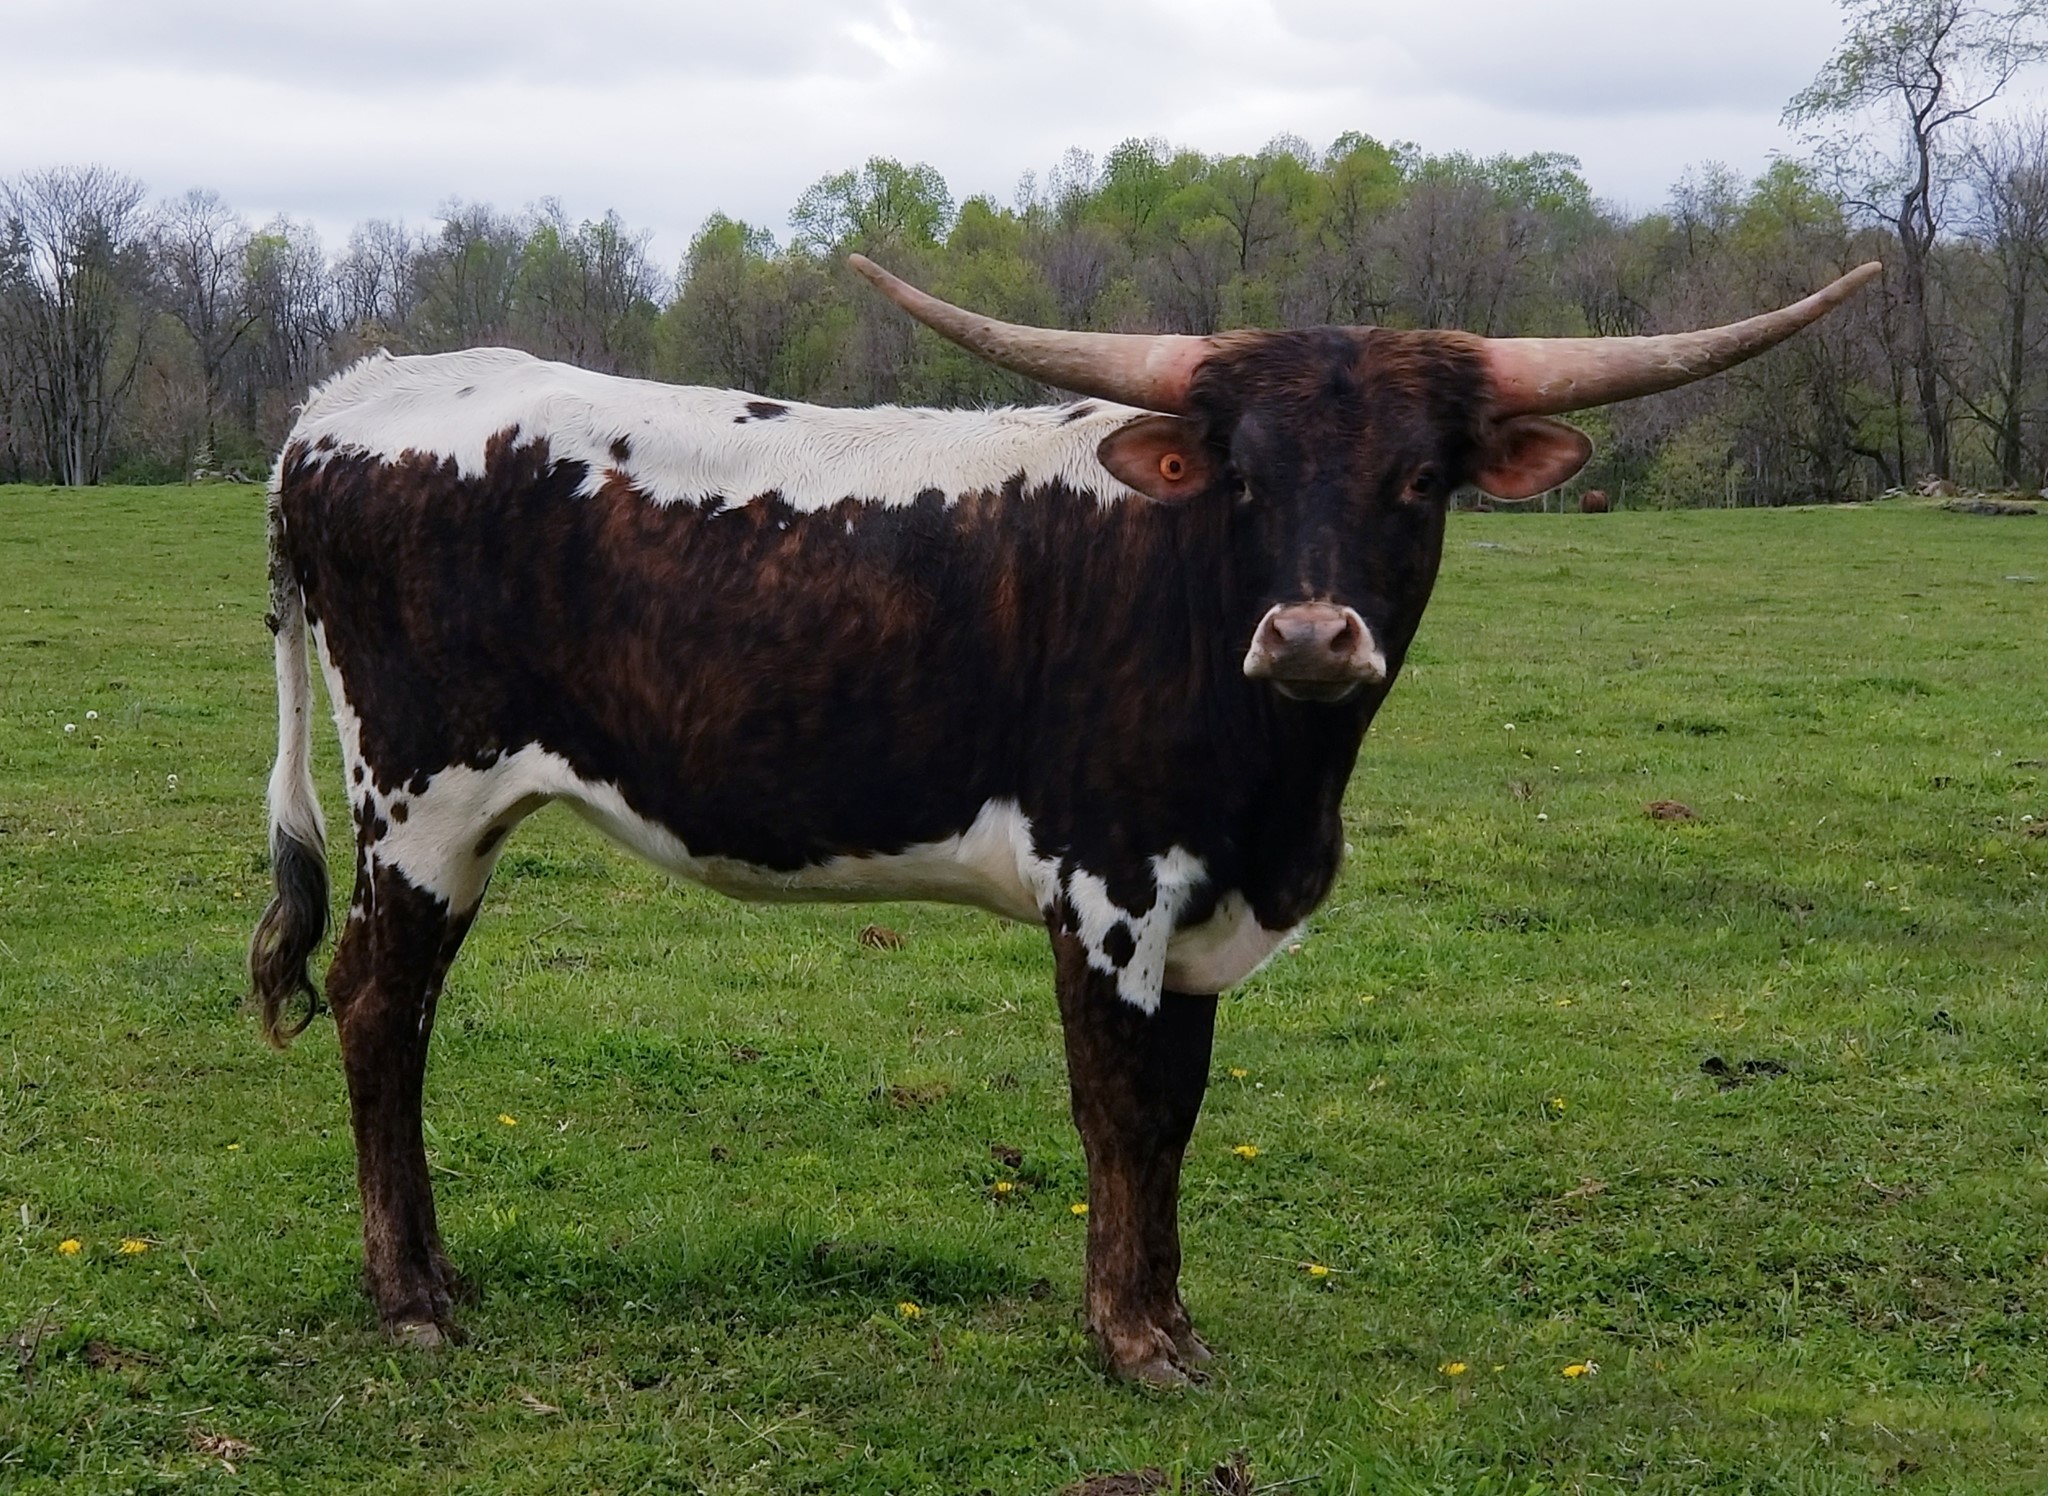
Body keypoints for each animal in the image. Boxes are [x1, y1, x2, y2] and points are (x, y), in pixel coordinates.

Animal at [251, 255, 1876, 1384]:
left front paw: (1167, 1318)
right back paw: (411, 1297)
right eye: (1241, 476)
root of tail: (350, 402)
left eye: (1419, 477)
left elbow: (1183, 1106)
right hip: (422, 802)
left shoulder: (1208, 907)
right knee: (376, 1007)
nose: (1310, 635)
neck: (1280, 785)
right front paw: (1131, 1340)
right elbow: (1121, 1105)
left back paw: (436, 1277)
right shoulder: (1107, 882)